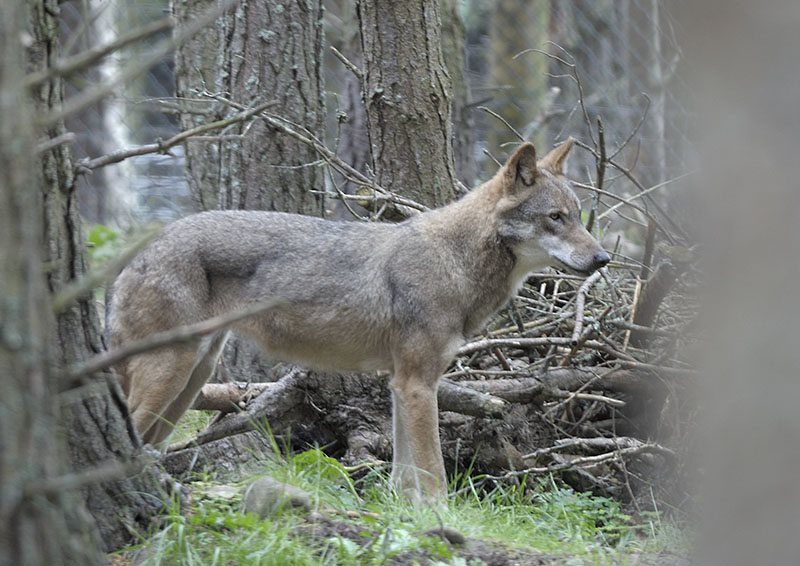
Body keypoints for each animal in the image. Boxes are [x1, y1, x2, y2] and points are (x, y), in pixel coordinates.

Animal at [108, 138, 609, 501]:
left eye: (578, 217)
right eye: (555, 218)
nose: (603, 258)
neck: (455, 261)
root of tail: (141, 252)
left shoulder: (402, 384)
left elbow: (405, 473)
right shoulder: (417, 384)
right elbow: (433, 473)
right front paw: (442, 521)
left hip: (191, 380)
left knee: (148, 444)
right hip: (171, 374)